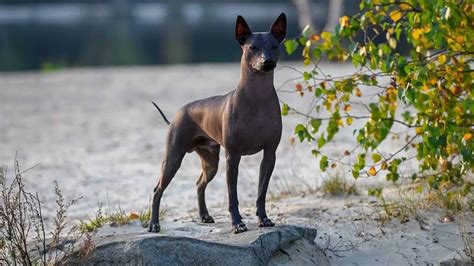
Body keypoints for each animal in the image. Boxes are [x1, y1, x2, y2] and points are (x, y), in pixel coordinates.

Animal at [150, 13, 286, 234]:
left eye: (274, 46)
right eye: (252, 47)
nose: (267, 62)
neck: (257, 99)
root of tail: (179, 112)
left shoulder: (269, 155)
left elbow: (261, 193)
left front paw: (263, 219)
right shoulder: (233, 157)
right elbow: (233, 197)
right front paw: (237, 223)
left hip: (211, 161)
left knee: (199, 184)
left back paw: (204, 216)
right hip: (173, 158)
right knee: (157, 190)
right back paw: (154, 224)